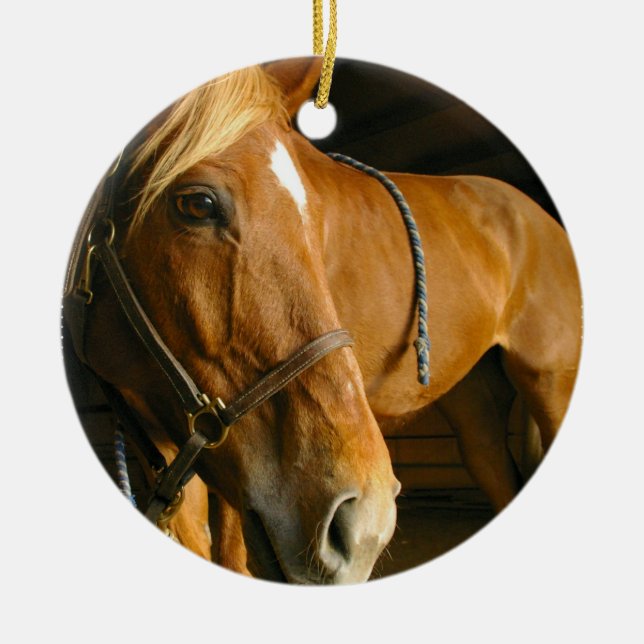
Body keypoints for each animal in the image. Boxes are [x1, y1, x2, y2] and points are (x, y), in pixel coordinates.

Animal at [64, 57, 582, 584]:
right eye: (198, 204)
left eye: (316, 218)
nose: (364, 524)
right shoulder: (180, 438)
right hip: (476, 408)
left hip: (553, 386)